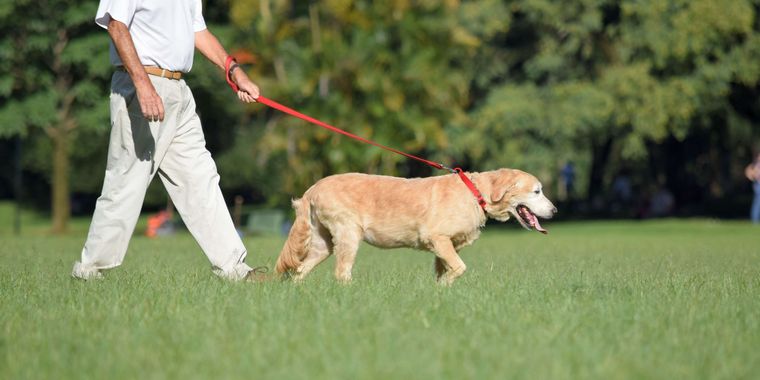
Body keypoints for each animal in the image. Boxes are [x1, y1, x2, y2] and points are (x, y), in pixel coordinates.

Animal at [276, 169, 556, 284]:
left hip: (322, 243)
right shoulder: (438, 238)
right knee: (342, 273)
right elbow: (460, 267)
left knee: (300, 270)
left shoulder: (447, 247)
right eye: (537, 191)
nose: (554, 211)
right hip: (348, 234)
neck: (476, 193)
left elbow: (444, 270)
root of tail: (313, 189)